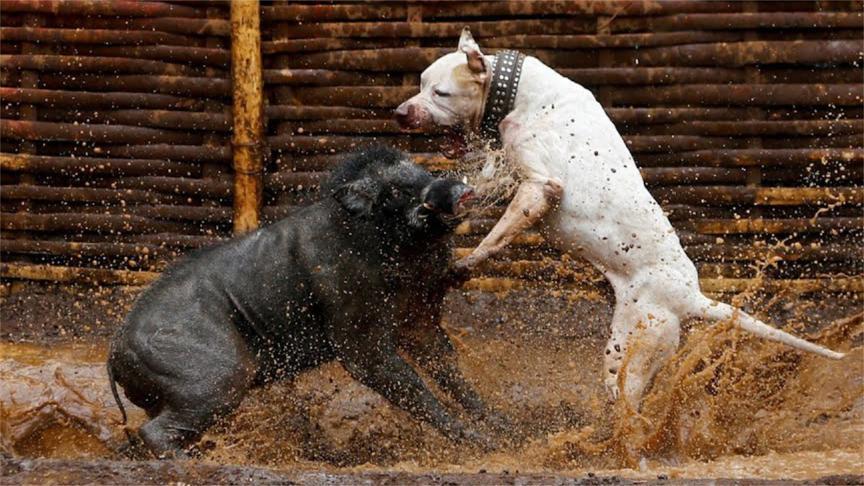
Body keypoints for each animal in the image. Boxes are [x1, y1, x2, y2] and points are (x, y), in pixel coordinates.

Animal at [398, 28, 844, 410]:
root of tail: (690, 296)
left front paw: (463, 265)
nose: (401, 113)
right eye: (419, 82)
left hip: (631, 347)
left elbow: (495, 237)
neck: (520, 94)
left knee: (630, 408)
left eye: (441, 92)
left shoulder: (540, 188)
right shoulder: (509, 174)